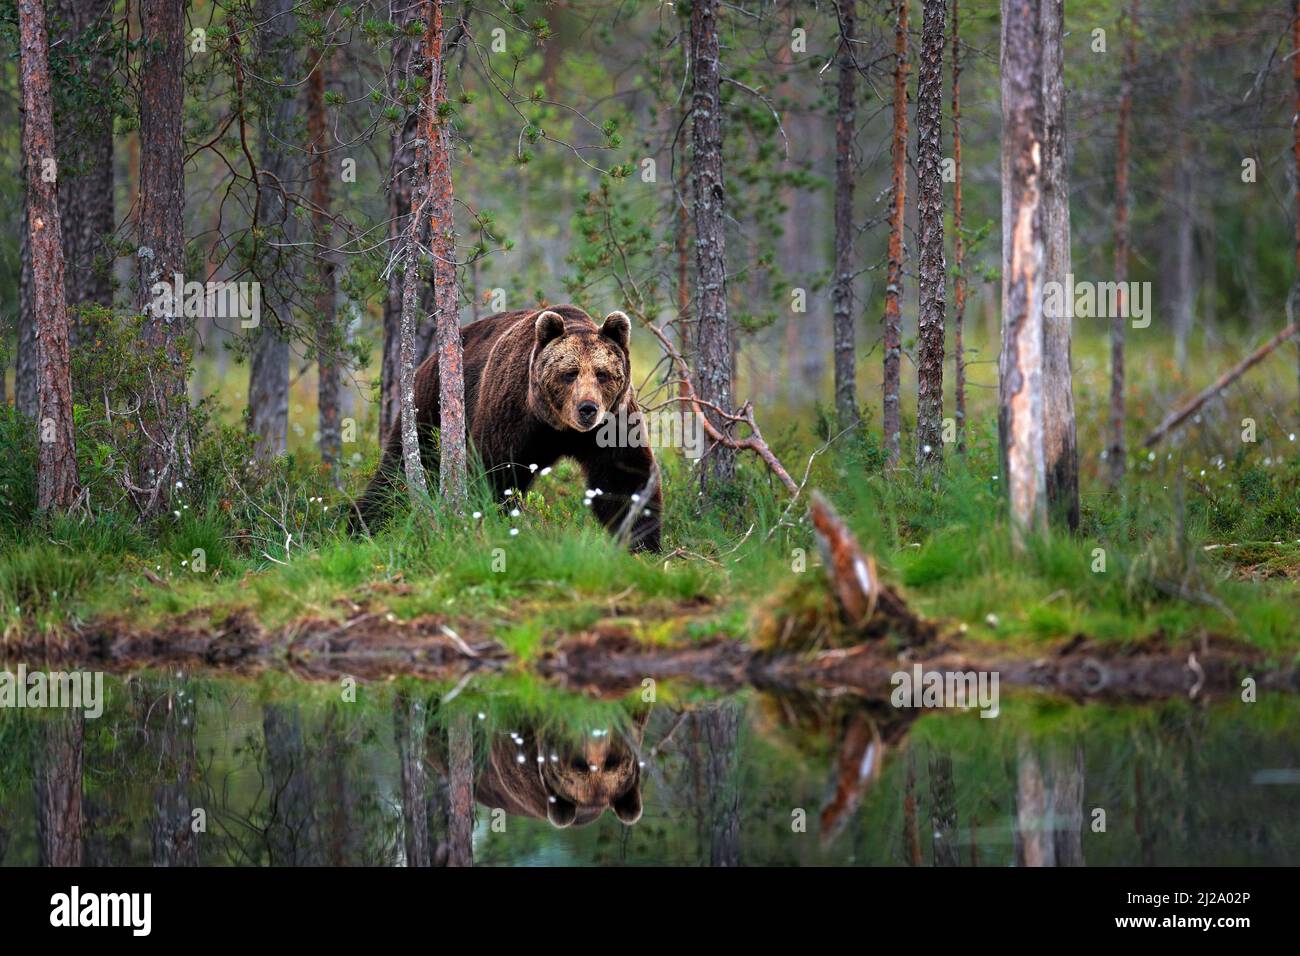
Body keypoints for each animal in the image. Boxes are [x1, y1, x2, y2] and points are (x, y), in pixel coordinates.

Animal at [351, 304, 662, 551]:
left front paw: (643, 543)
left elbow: (624, 479)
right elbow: (494, 472)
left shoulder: (611, 426)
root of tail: (426, 362)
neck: (557, 427)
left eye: (602, 373)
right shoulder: (511, 415)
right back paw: (361, 524)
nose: (587, 408)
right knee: (398, 472)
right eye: (570, 373)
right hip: (427, 411)